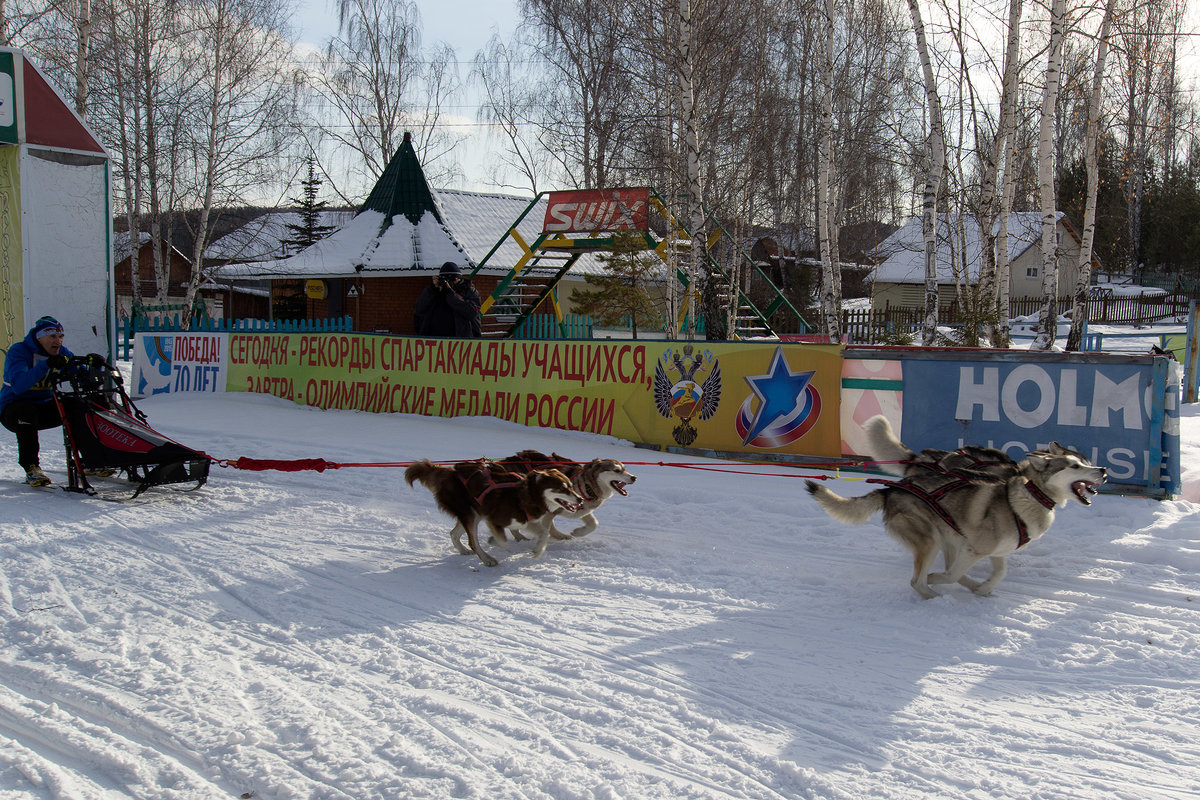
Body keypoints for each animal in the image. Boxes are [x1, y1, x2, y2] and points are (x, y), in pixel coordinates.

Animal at [405, 460, 583, 566]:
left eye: (571, 486)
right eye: (562, 488)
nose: (580, 499)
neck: (528, 494)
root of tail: (450, 472)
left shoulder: (525, 520)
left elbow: (544, 533)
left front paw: (538, 550)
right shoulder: (494, 519)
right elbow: (502, 539)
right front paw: (494, 541)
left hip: (475, 514)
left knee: (454, 534)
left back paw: (462, 550)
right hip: (471, 515)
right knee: (473, 542)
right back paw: (486, 558)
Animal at [494, 450, 638, 537]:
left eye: (625, 469)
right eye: (617, 470)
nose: (634, 477)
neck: (587, 487)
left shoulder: (582, 510)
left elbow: (593, 524)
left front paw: (578, 532)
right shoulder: (549, 511)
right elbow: (549, 527)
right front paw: (558, 537)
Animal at [806, 417, 1104, 597]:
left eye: (1085, 463)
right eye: (1075, 466)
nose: (1102, 470)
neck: (1027, 493)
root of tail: (891, 489)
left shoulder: (993, 550)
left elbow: (998, 572)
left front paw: (983, 588)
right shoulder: (973, 549)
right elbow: (950, 574)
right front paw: (940, 579)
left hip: (946, 535)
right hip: (932, 539)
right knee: (919, 580)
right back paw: (933, 594)